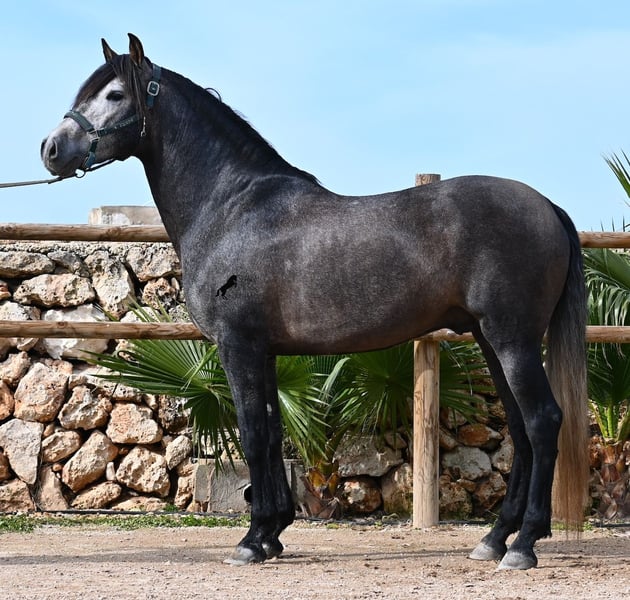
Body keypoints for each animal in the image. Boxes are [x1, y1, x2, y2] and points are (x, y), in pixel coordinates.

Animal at [41, 34, 589, 570]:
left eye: (115, 94)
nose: (51, 149)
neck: (232, 208)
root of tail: (547, 206)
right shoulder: (263, 352)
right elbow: (270, 429)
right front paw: (272, 534)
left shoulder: (238, 346)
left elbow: (253, 433)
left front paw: (251, 541)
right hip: (491, 339)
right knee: (520, 429)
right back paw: (494, 539)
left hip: (512, 339)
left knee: (543, 422)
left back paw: (522, 547)